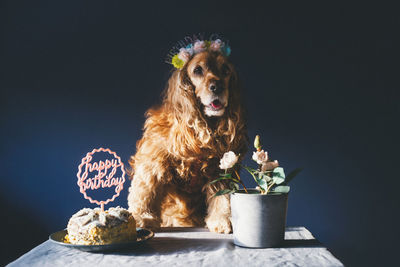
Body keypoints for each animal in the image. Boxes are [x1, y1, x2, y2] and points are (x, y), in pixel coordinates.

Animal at [128, 37, 247, 234]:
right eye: (198, 70)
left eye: (225, 70)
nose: (218, 87)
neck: (201, 127)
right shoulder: (154, 160)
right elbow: (146, 189)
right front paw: (141, 217)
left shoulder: (220, 168)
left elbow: (222, 197)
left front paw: (222, 220)